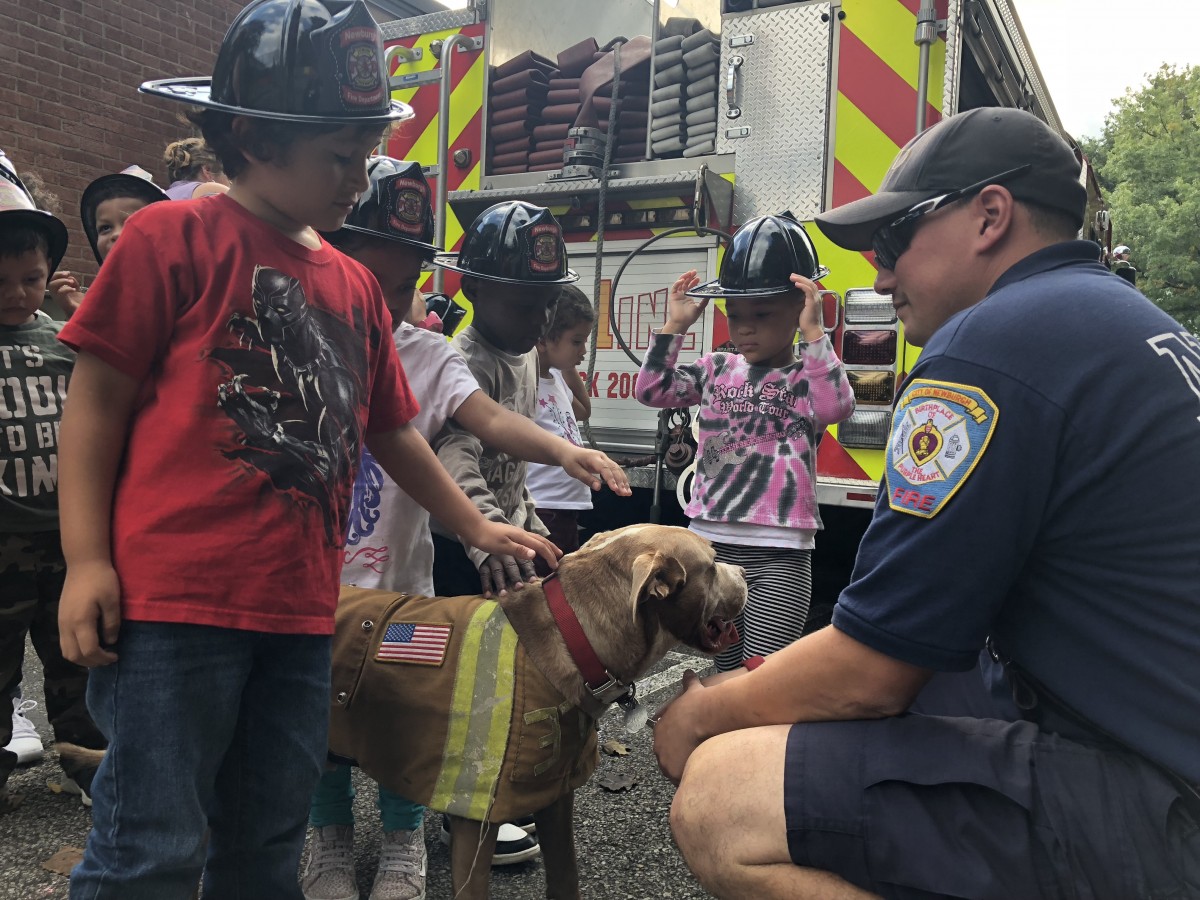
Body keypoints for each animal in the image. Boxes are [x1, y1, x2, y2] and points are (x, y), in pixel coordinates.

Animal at [324, 525, 744, 897]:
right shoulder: (474, 813)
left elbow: (565, 876)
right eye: (712, 563)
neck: (575, 636)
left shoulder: (554, 793)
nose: (744, 573)